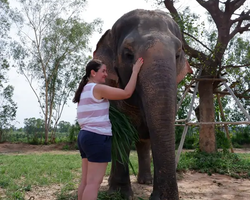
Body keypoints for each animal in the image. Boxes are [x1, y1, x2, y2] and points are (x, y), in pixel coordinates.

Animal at [93, 9, 192, 200]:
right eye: (128, 54)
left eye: (177, 55)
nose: (157, 197)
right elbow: (122, 135)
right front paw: (121, 195)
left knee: (143, 142)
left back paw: (145, 181)